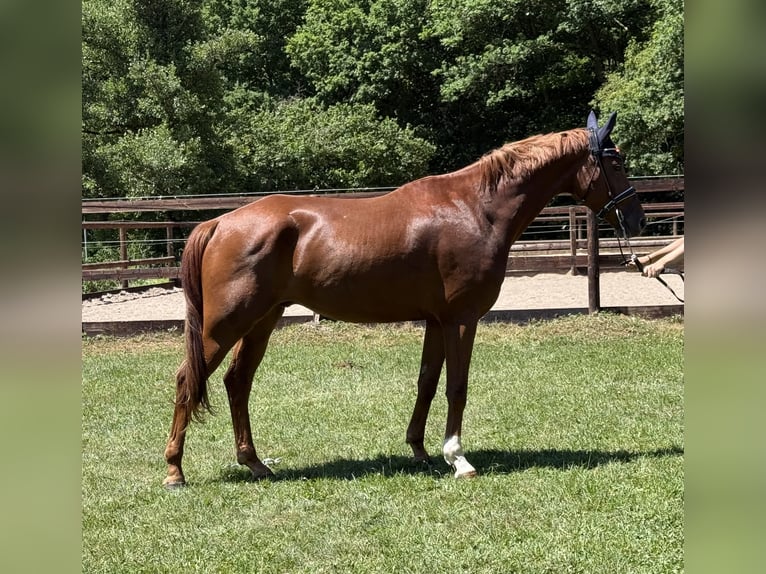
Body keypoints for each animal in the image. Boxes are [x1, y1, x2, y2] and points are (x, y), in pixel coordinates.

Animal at [163, 110, 646, 486]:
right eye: (617, 160)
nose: (638, 218)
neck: (477, 208)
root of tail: (220, 223)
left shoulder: (435, 320)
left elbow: (427, 382)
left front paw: (420, 450)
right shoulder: (461, 319)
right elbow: (456, 387)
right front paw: (458, 458)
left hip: (262, 321)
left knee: (237, 382)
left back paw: (255, 463)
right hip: (225, 325)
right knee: (189, 379)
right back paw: (174, 471)